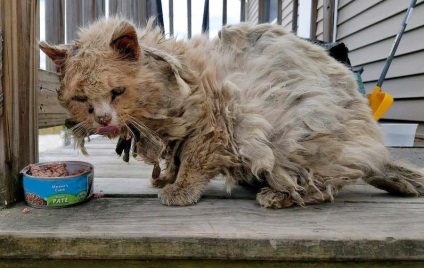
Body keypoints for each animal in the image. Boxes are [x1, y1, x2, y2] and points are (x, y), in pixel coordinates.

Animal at [38, 17, 422, 208]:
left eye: (117, 93)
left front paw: (179, 192)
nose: (103, 120)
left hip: (300, 137)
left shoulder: (214, 126)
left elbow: (192, 164)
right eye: (81, 99)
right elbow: (175, 159)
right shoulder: (182, 134)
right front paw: (166, 180)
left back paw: (276, 195)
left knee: (325, 185)